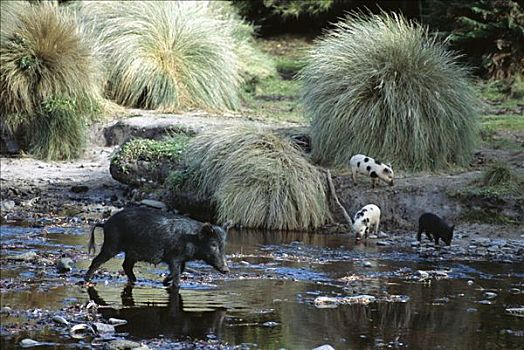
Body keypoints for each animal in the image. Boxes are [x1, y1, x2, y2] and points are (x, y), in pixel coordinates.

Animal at [84, 208, 229, 288]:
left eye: (223, 245)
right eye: (213, 245)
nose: (226, 270)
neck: (192, 239)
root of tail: (105, 224)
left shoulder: (182, 259)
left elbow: (182, 269)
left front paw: (164, 282)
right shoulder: (174, 257)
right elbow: (177, 272)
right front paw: (176, 285)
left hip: (131, 252)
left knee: (126, 265)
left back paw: (135, 280)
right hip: (112, 244)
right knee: (97, 260)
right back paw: (87, 279)